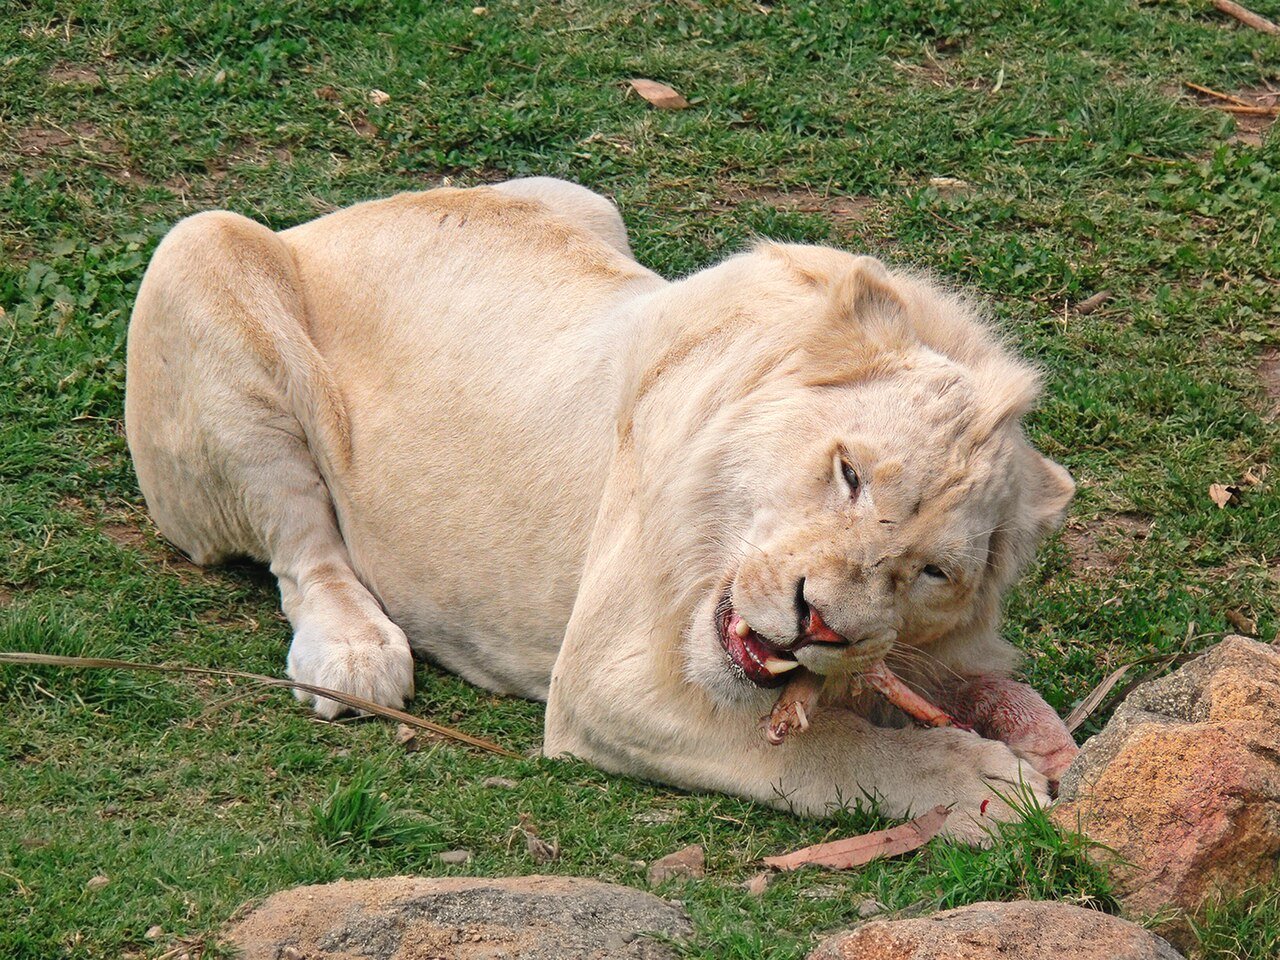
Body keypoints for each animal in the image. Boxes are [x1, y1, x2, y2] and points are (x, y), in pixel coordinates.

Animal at [124, 177, 1077, 843]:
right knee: (302, 546)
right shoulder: (601, 682)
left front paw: (1023, 729)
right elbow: (827, 750)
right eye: (849, 473)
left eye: (933, 572)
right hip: (200, 249)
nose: (821, 622)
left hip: (584, 198)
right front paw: (983, 783)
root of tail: (325, 221)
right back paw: (354, 657)